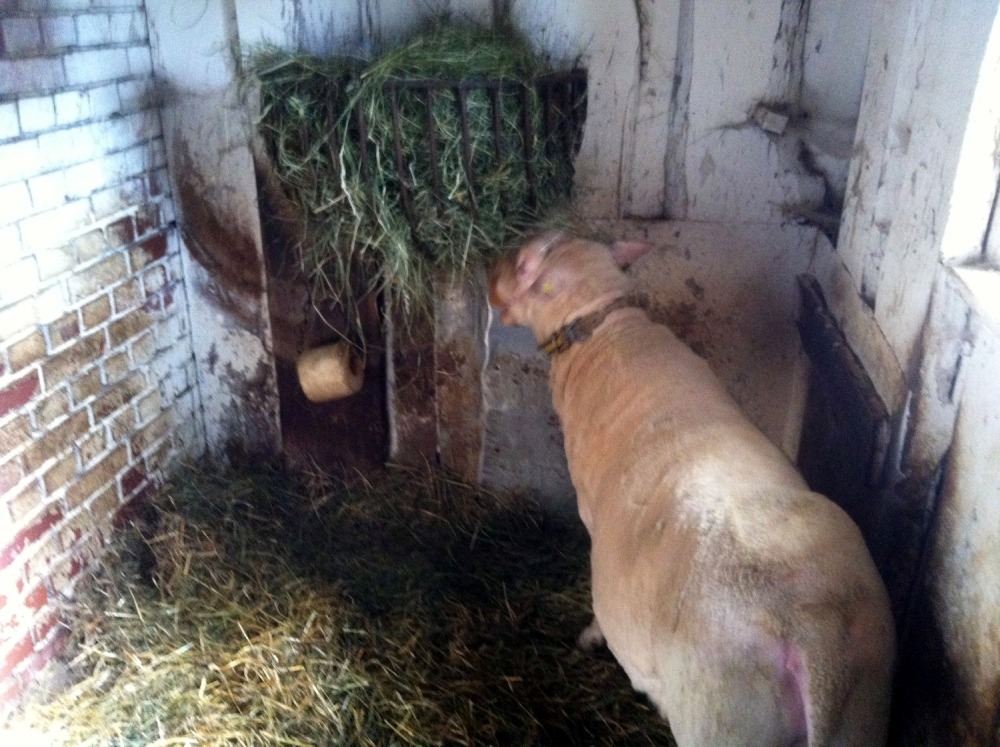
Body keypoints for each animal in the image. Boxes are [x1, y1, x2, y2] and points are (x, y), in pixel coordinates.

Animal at [488, 234, 896, 747]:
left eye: (524, 265)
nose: (489, 278)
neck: (604, 328)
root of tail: (812, 637)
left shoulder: (588, 510)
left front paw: (589, 635)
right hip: (864, 707)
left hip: (722, 718)